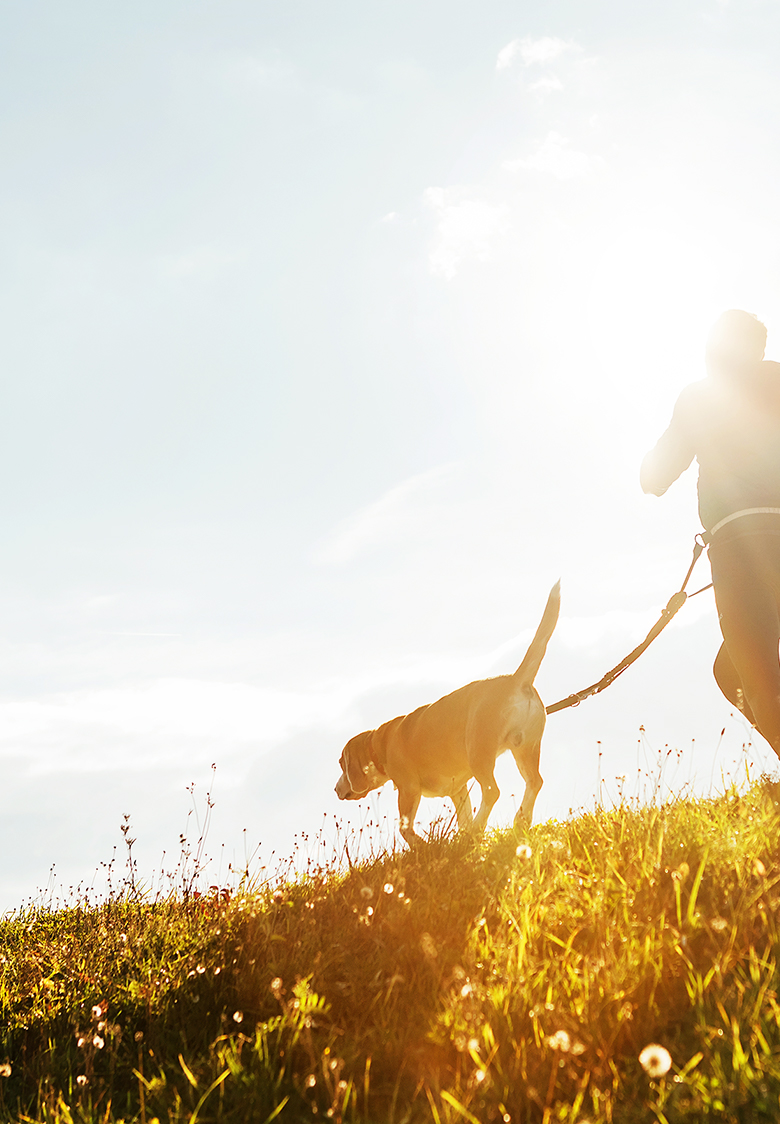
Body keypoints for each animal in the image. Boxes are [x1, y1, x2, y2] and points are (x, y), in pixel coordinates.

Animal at [332, 588, 559, 845]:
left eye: (341, 765)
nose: (336, 789)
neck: (379, 745)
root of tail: (515, 680)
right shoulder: (458, 791)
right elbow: (463, 817)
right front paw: (462, 839)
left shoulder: (408, 790)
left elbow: (404, 828)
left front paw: (422, 846)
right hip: (526, 748)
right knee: (534, 782)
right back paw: (519, 821)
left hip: (479, 752)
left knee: (492, 791)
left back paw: (481, 826)